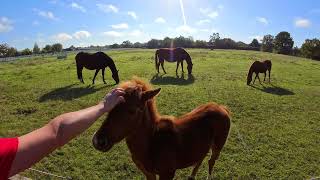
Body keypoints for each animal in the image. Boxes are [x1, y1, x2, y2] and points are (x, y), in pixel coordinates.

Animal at [92, 77, 230, 180]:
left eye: (132, 111)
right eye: (110, 108)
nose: (99, 141)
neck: (152, 142)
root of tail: (221, 107)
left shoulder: (168, 173)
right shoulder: (148, 173)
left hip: (218, 145)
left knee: (211, 161)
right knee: (200, 157)